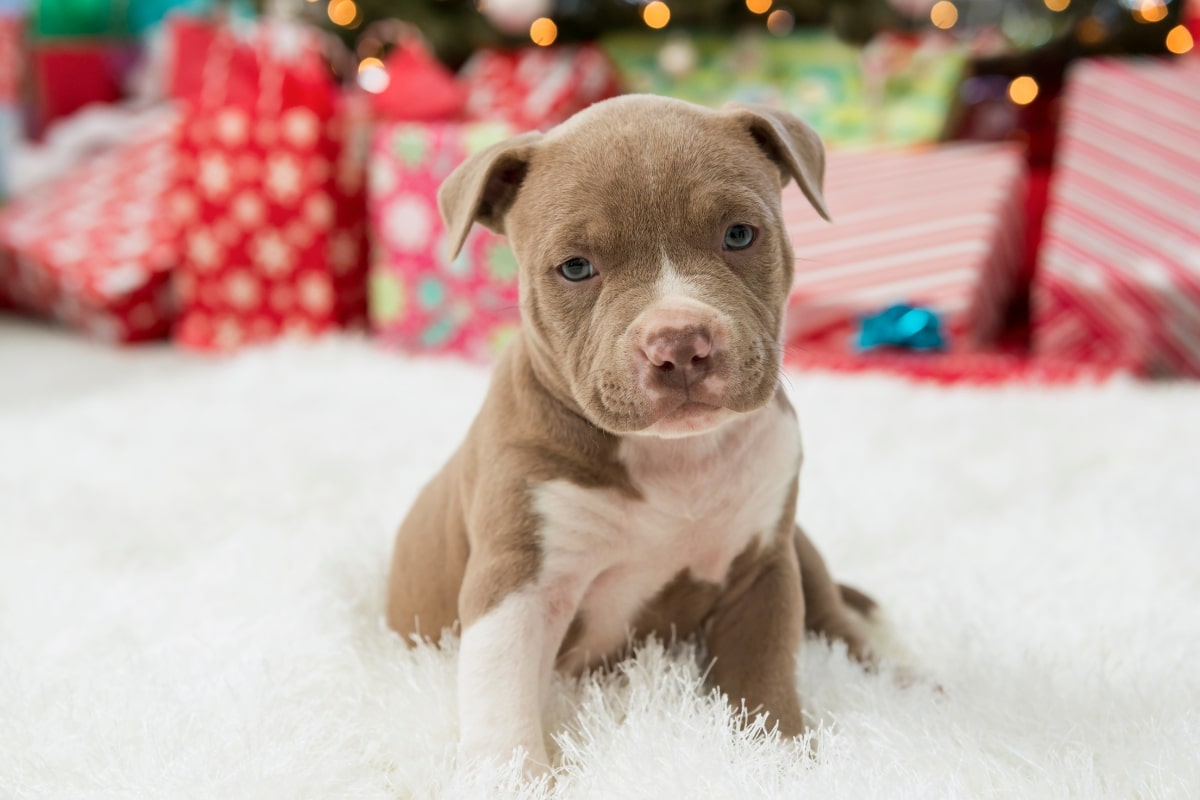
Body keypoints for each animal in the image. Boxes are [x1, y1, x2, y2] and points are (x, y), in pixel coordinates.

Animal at [386, 94, 873, 777]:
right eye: (575, 268)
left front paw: (781, 760)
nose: (681, 344)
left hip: (800, 549)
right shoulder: (517, 582)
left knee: (838, 617)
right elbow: (502, 700)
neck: (676, 456)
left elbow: (765, 676)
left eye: (739, 234)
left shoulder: (762, 571)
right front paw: (516, 778)